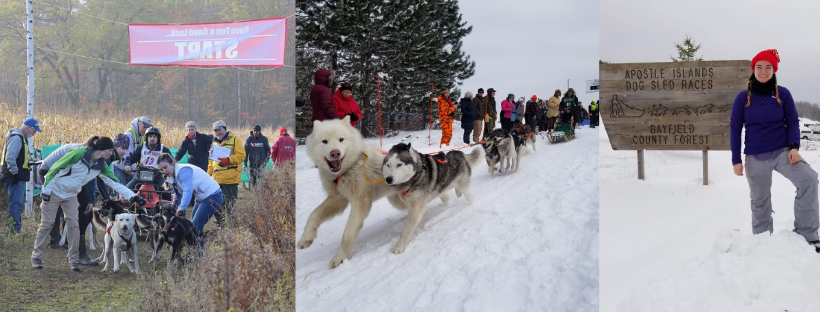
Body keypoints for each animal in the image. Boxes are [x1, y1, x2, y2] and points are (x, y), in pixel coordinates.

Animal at [302, 116, 404, 268]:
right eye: (325, 141)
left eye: (341, 139)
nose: (335, 153)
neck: (347, 170)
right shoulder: (338, 199)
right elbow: (314, 215)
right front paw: (306, 238)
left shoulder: (360, 202)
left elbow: (348, 233)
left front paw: (340, 257)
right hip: (397, 201)